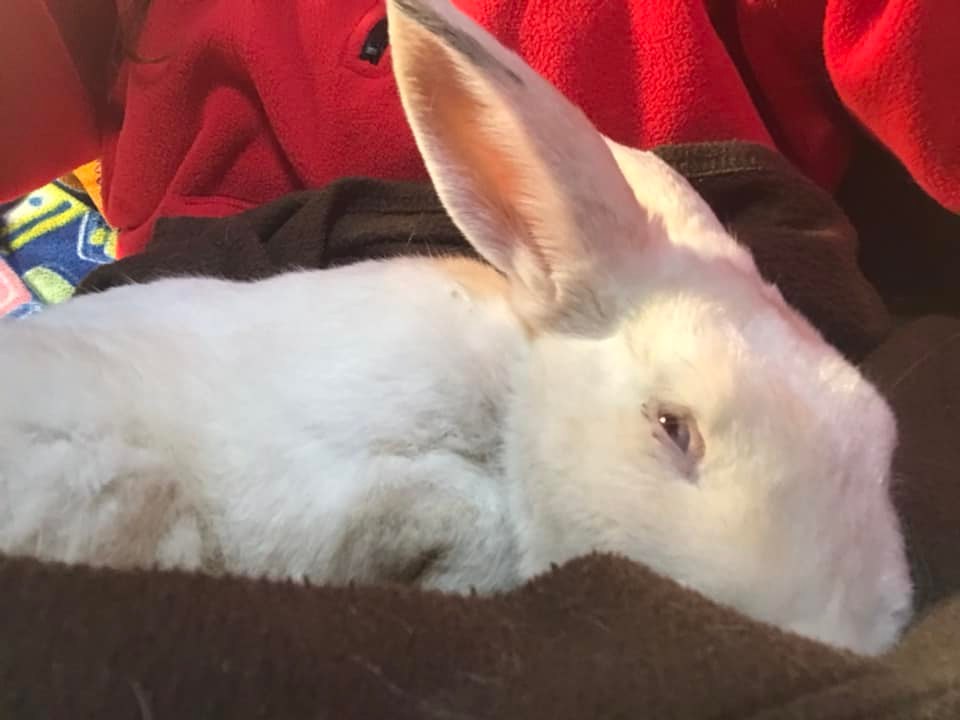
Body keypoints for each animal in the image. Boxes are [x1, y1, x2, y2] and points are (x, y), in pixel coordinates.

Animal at [0, 0, 911, 656]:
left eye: (880, 432)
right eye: (671, 426)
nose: (834, 639)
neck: (512, 400)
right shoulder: (314, 472)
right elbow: (442, 509)